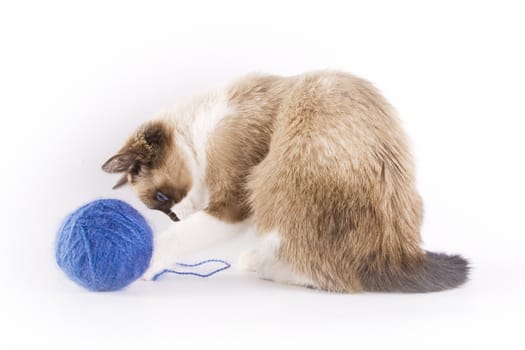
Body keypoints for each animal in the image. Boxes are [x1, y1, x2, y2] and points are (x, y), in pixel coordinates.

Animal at [101, 70, 466, 292]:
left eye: (162, 198)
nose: (178, 216)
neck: (200, 128)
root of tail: (402, 259)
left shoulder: (231, 204)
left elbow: (173, 240)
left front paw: (140, 266)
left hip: (277, 174)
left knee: (327, 274)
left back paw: (261, 265)